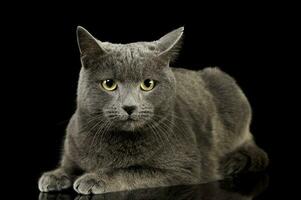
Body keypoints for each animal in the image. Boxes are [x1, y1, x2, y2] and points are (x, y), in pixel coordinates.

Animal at [37, 25, 268, 195]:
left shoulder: (183, 169)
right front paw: (54, 175)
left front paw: (95, 178)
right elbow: (68, 165)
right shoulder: (72, 145)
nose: (129, 106)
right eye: (109, 84)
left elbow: (131, 171)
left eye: (147, 84)